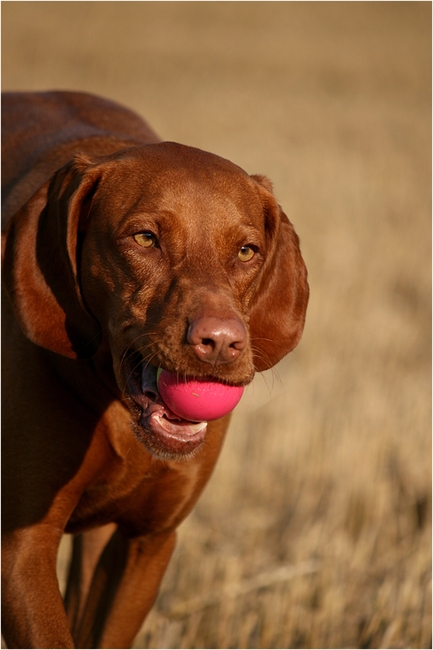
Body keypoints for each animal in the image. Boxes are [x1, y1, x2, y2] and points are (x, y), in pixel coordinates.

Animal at [1, 92, 308, 648]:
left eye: (246, 251)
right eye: (145, 238)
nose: (221, 344)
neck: (113, 401)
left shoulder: (148, 541)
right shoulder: (21, 544)